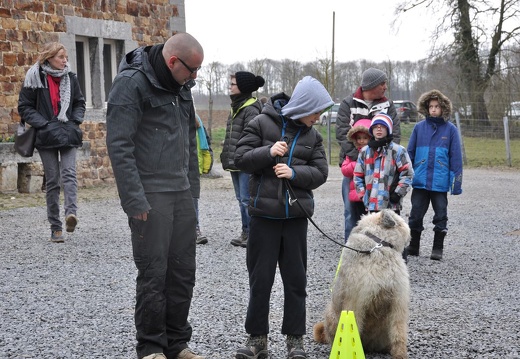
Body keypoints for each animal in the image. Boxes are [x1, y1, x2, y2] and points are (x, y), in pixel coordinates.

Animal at [312, 211, 410, 359]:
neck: (378, 247)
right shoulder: (356, 301)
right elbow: (354, 325)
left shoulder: (398, 300)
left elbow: (399, 330)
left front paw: (400, 354)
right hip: (331, 315)